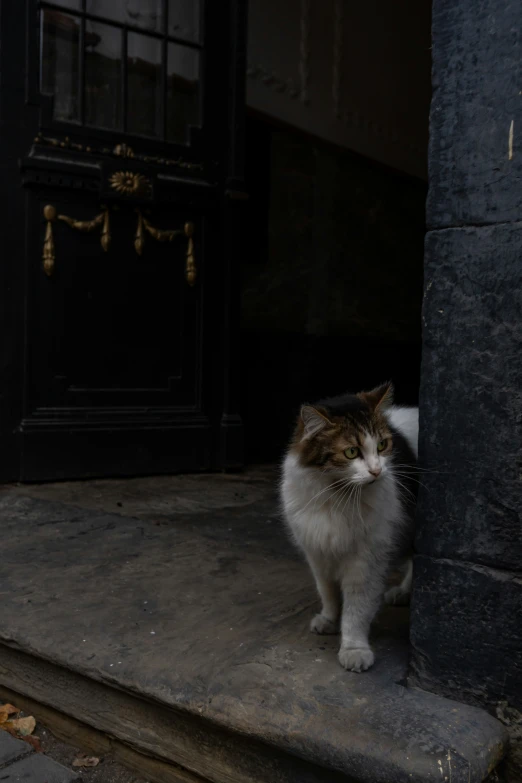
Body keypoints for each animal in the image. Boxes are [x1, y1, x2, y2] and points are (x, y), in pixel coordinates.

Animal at [278, 382, 416, 672]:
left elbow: (356, 610)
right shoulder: (317, 552)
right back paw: (403, 592)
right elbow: (328, 592)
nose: (376, 471)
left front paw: (354, 649)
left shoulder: (366, 563)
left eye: (382, 445)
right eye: (351, 452)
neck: (337, 496)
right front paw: (329, 620)